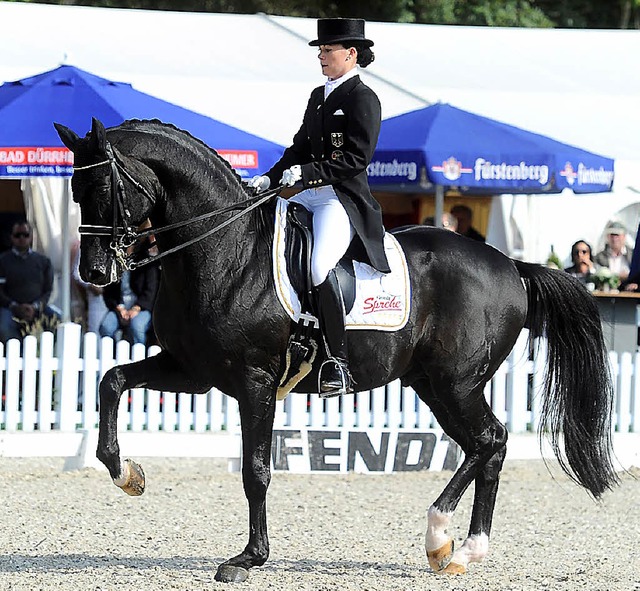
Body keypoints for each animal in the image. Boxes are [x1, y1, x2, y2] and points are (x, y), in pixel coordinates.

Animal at [57, 119, 616, 584]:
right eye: (74, 191)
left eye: (103, 189)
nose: (94, 274)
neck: (225, 252)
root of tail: (510, 265)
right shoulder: (192, 371)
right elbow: (111, 380)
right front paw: (127, 474)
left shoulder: (255, 381)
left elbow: (255, 470)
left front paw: (248, 558)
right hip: (434, 386)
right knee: (485, 446)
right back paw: (458, 550)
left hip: (456, 383)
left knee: (489, 440)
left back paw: (445, 537)